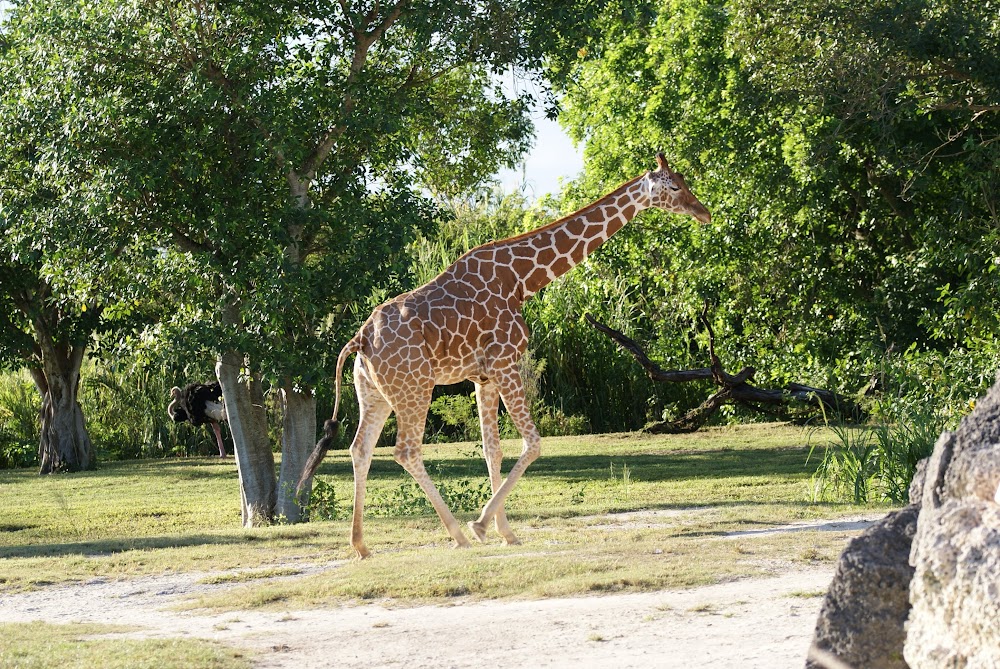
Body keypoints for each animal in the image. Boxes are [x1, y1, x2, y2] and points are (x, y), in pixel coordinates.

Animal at [296, 154, 712, 556]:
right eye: (675, 186)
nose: (704, 212)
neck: (523, 280)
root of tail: (360, 340)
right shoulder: (505, 363)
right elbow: (533, 442)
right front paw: (481, 526)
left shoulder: (483, 376)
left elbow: (491, 450)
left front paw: (505, 532)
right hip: (415, 388)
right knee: (405, 450)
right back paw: (456, 535)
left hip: (374, 393)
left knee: (360, 448)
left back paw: (361, 545)